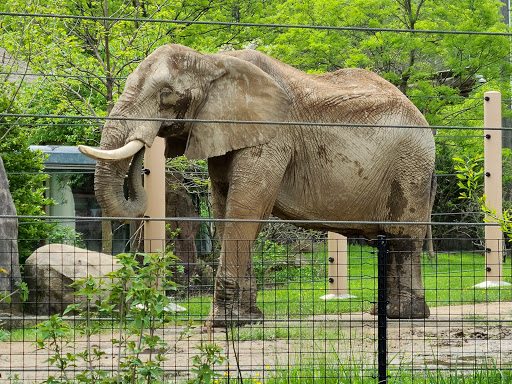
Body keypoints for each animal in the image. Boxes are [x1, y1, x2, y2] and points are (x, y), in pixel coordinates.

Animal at [79, 44, 436, 328]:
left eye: (166, 94)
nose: (145, 149)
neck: (212, 62)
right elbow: (225, 206)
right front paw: (248, 320)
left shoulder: (272, 135)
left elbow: (246, 205)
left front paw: (222, 324)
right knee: (391, 241)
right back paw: (388, 313)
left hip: (411, 166)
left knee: (402, 238)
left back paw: (402, 315)